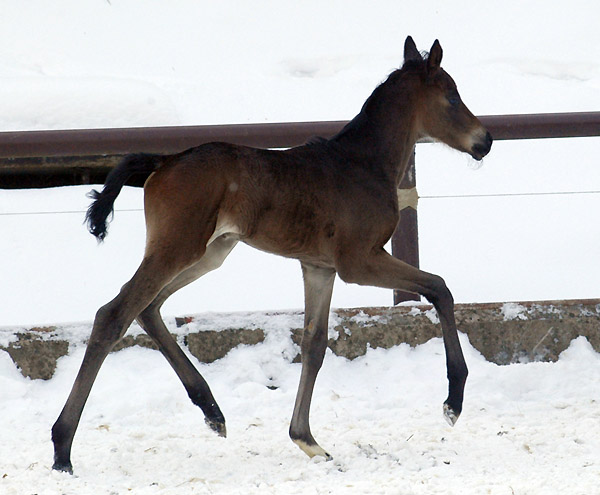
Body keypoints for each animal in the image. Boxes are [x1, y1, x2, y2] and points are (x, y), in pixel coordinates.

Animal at [51, 35, 492, 472]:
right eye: (452, 96)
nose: (484, 141)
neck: (364, 164)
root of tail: (164, 159)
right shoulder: (358, 260)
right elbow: (439, 288)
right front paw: (453, 402)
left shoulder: (319, 267)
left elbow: (314, 344)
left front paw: (307, 440)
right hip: (178, 247)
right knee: (114, 314)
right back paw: (62, 449)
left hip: (210, 252)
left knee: (148, 309)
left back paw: (212, 411)